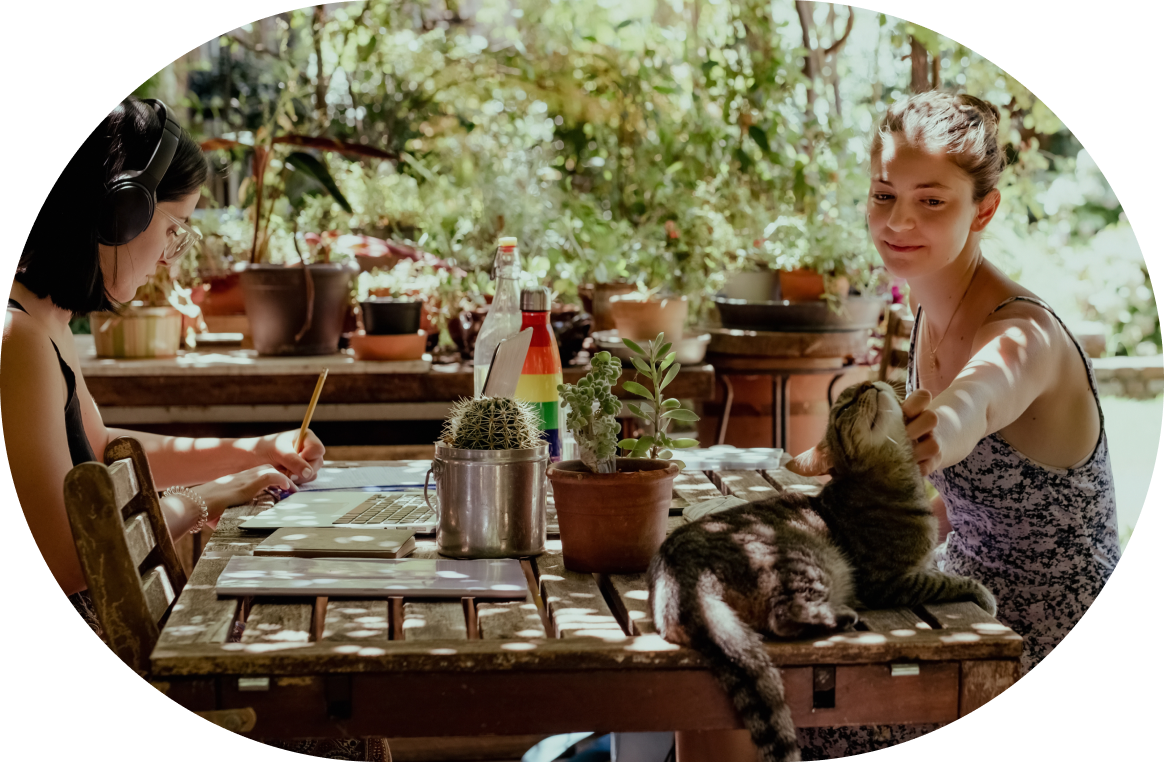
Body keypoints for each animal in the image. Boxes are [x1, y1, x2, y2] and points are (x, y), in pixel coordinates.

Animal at [651, 381, 996, 762]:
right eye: (844, 407)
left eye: (859, 390)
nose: (868, 383)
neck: (892, 479)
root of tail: (678, 573)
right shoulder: (888, 582)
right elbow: (942, 582)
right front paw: (981, 593)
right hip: (804, 562)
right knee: (784, 615)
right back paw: (841, 616)